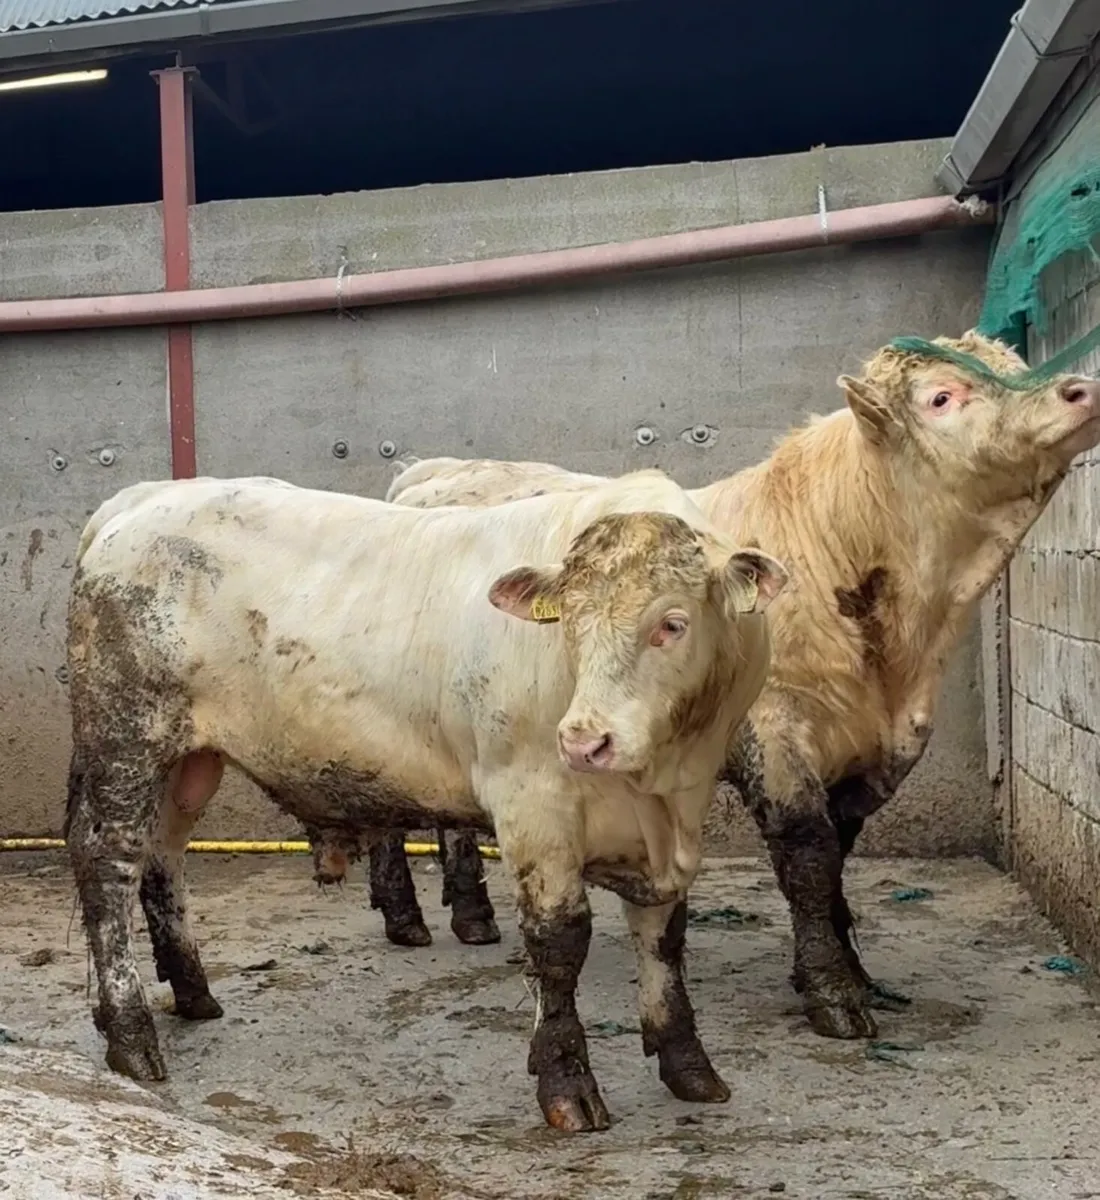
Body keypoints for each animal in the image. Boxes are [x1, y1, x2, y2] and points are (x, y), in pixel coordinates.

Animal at [64, 469, 787, 1133]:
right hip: (126, 736)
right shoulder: (534, 804)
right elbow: (559, 942)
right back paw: (130, 1035)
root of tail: (142, 497)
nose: (586, 741)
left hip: (188, 760)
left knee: (164, 858)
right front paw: (566, 1085)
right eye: (571, 626)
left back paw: (190, 991)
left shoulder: (672, 824)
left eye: (672, 623)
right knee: (108, 864)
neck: (661, 789)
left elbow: (663, 938)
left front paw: (689, 1064)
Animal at [360, 330, 1100, 1042]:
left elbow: (838, 852)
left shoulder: (874, 745)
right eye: (942, 397)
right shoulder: (776, 728)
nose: (1079, 389)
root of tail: (431, 473)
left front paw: (853, 973)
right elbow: (809, 852)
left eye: (1015, 363)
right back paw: (407, 915)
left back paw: (472, 914)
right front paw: (833, 994)